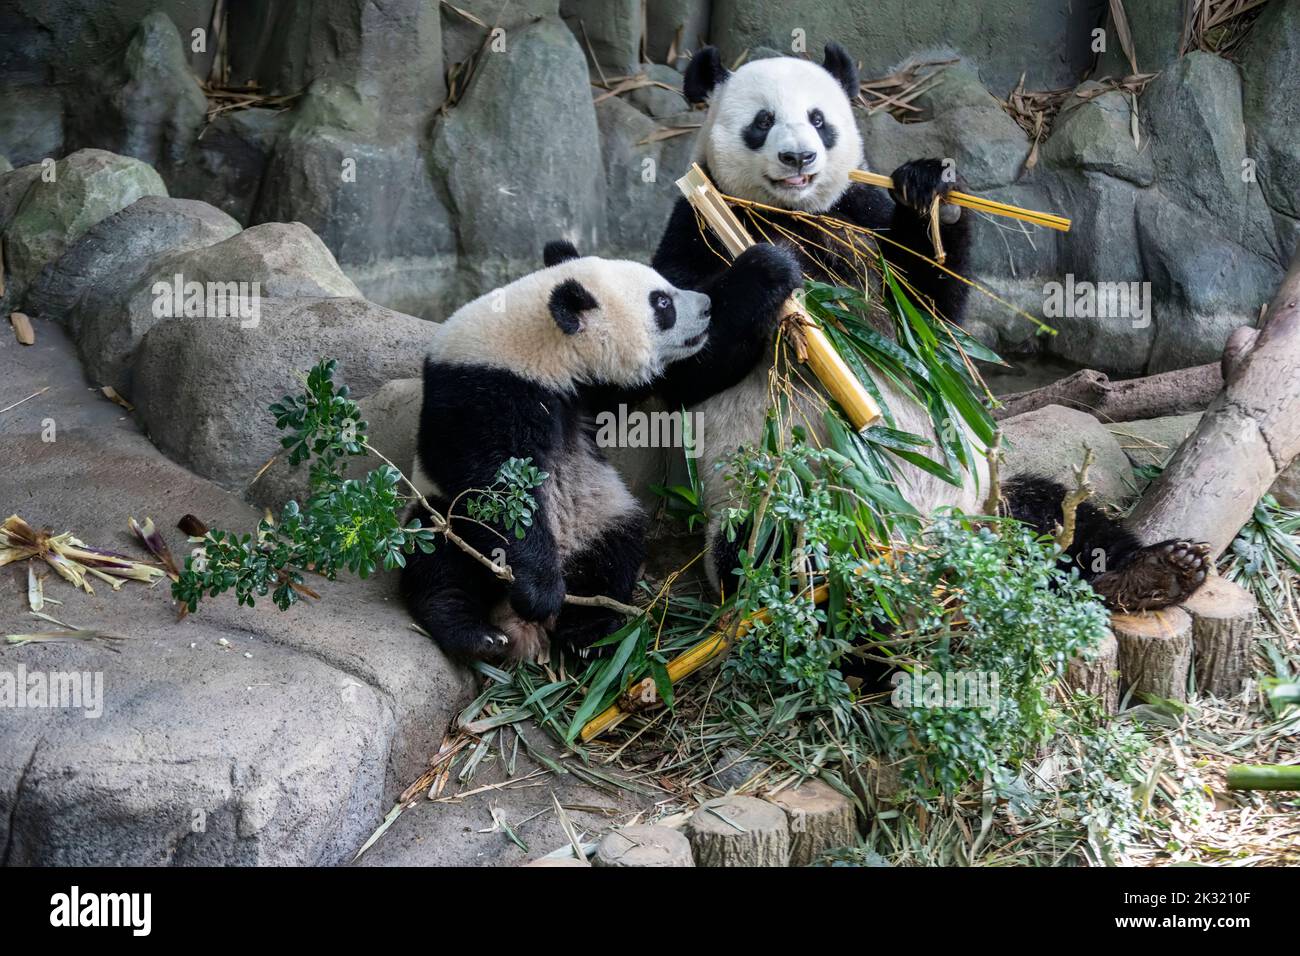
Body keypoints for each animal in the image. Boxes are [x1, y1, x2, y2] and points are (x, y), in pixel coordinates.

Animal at [400, 241, 712, 663]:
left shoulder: (590, 392)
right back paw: (476, 634)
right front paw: (539, 593)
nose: (707, 305)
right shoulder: (479, 392)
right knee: (436, 557)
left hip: (601, 516)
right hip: (444, 512)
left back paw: (587, 633)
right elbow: (492, 486)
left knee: (615, 554)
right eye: (661, 302)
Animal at [646, 43, 1210, 613]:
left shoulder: (857, 216)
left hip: (987, 497)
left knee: (1055, 511)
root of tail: (933, 547)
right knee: (776, 554)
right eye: (762, 122)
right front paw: (770, 268)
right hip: (778, 497)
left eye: (819, 120)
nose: (799, 158)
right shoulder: (695, 224)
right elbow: (682, 370)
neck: (793, 215)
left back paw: (1153, 571)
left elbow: (929, 318)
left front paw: (931, 192)